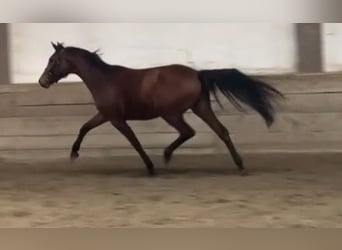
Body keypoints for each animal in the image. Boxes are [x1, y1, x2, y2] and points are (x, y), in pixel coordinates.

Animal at [38, 42, 284, 176]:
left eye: (53, 60)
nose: (42, 81)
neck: (104, 79)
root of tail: (197, 74)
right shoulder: (105, 115)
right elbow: (84, 127)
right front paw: (73, 153)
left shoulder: (116, 118)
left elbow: (134, 142)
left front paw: (150, 167)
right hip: (200, 107)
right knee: (221, 131)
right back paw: (240, 165)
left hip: (171, 113)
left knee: (188, 132)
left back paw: (166, 156)